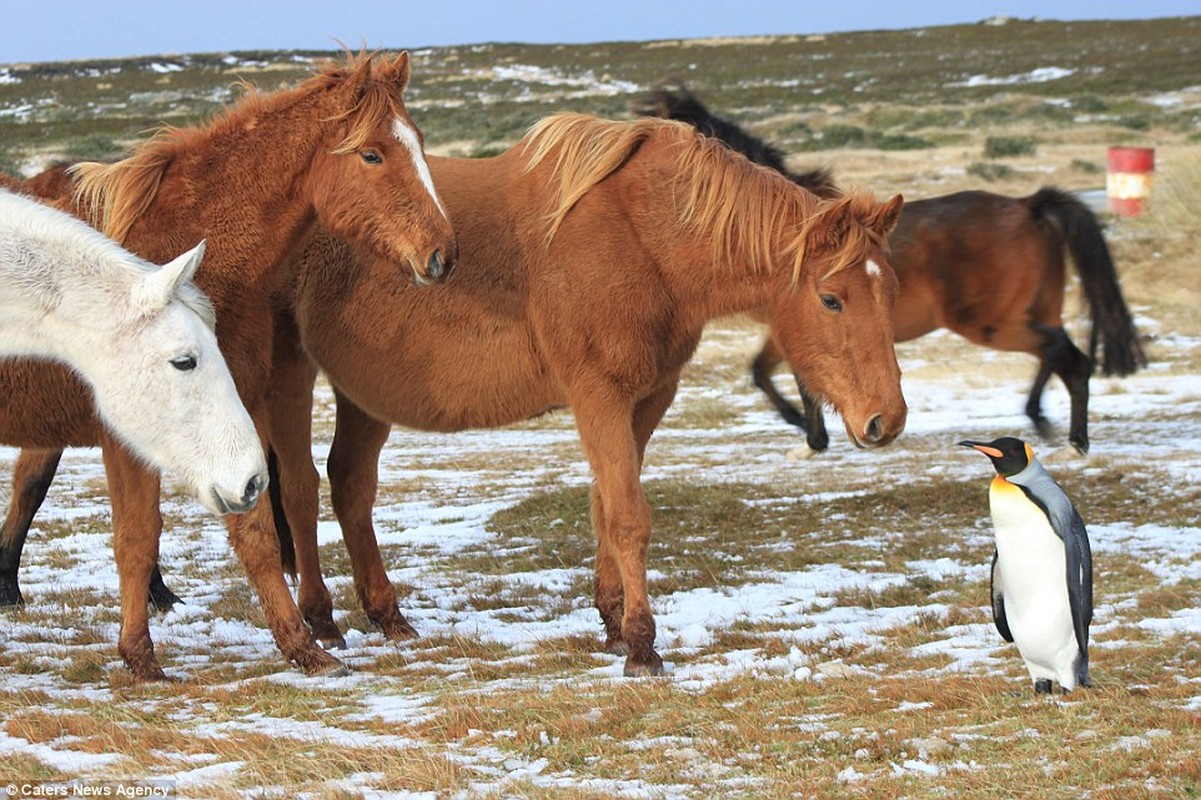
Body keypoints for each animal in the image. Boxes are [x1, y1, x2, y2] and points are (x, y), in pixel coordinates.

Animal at [260, 112, 903, 672]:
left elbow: (604, 507)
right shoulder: (600, 396)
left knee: (350, 486)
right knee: (299, 489)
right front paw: (642, 647)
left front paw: (613, 623)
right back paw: (320, 622)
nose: (887, 420)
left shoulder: (647, 399)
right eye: (831, 298)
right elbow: (628, 517)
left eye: (889, 289)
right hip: (289, 378)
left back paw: (387, 616)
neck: (643, 236)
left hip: (365, 396)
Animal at [634, 82, 1148, 454]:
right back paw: (1058, 431)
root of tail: (1030, 206)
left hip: (990, 322)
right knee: (1063, 359)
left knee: (1062, 355)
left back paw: (1058, 431)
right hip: (1036, 310)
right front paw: (813, 436)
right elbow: (774, 372)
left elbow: (778, 376)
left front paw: (808, 433)